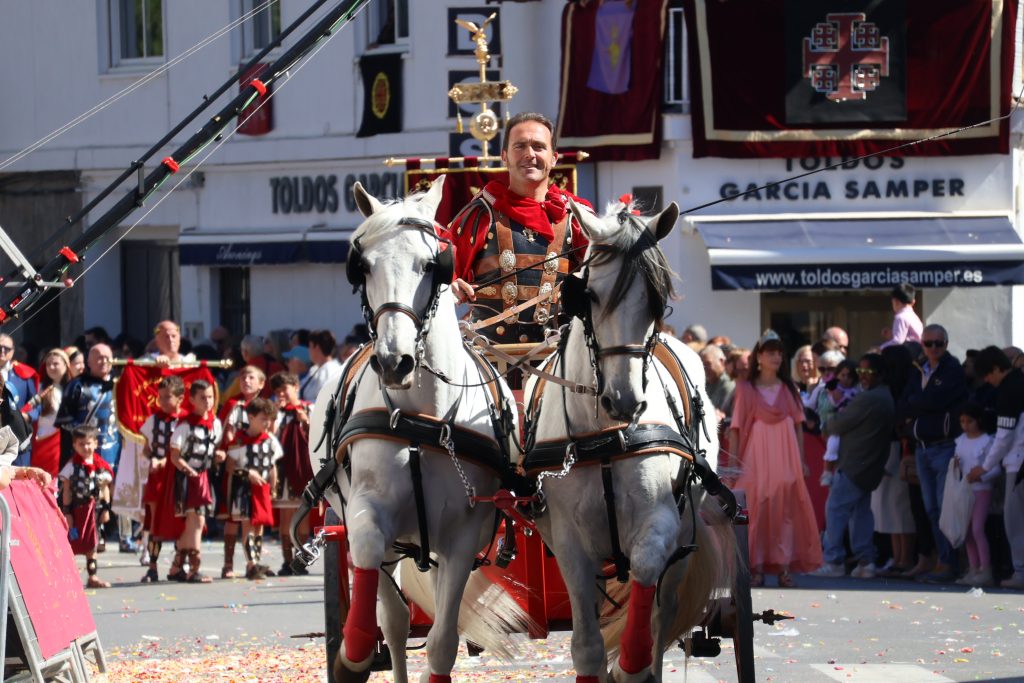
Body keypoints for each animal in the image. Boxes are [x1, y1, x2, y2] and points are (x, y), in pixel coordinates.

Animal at [307, 176, 528, 683]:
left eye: (432, 264)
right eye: (362, 266)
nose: (395, 361)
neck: (421, 420)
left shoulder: (463, 538)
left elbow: (443, 643)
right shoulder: (367, 514)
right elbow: (371, 580)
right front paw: (351, 656)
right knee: (393, 619)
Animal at [524, 198, 737, 683]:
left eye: (656, 301)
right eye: (589, 296)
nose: (624, 401)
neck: (605, 437)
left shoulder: (661, 523)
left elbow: (646, 574)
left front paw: (631, 659)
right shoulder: (569, 544)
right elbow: (586, 647)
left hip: (686, 530)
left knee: (664, 610)